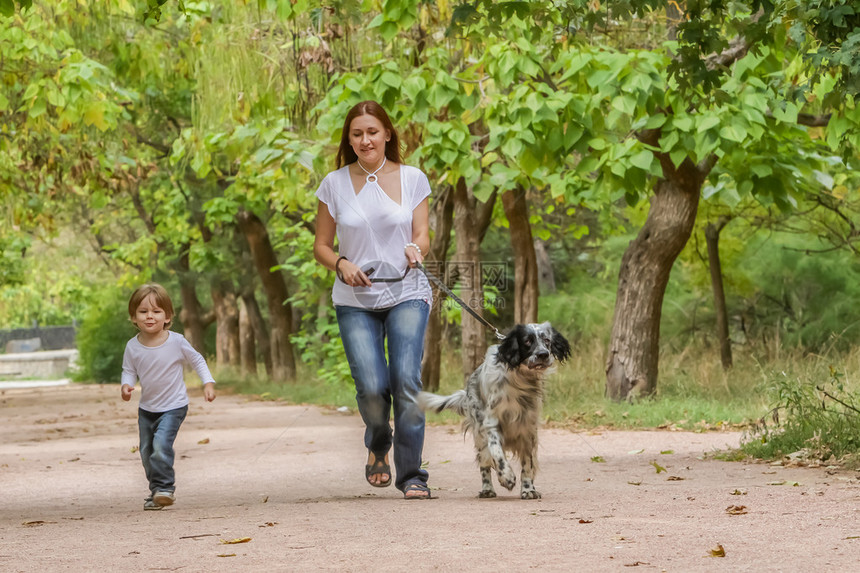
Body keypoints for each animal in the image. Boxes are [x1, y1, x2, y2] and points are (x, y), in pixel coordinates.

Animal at [418, 324, 572, 498]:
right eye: (527, 341)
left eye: (547, 340)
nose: (543, 354)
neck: (519, 380)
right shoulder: (491, 424)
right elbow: (497, 452)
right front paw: (506, 476)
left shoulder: (528, 431)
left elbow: (528, 464)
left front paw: (528, 489)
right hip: (479, 434)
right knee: (484, 464)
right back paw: (487, 489)